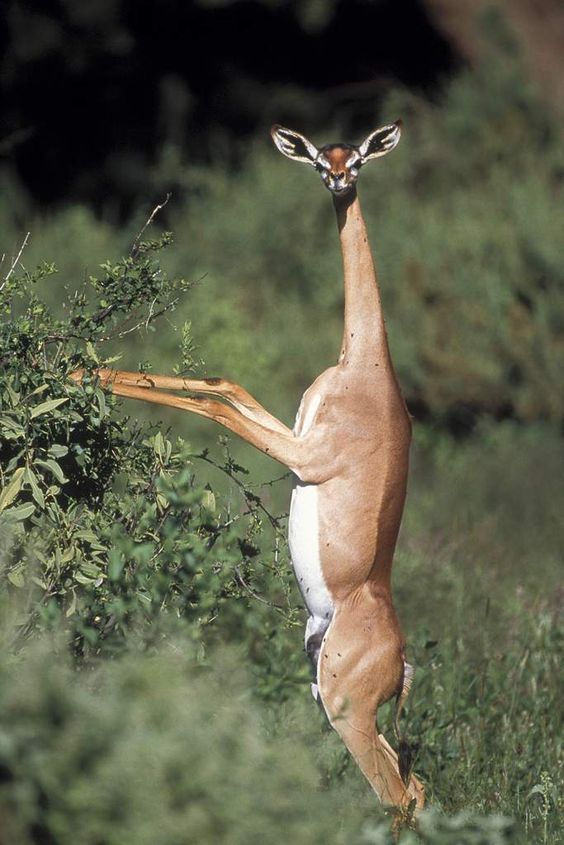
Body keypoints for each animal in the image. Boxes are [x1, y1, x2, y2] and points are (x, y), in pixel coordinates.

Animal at [69, 120, 424, 812]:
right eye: (319, 154)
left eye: (358, 156)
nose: (337, 179)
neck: (367, 367)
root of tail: (401, 660)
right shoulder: (293, 430)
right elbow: (223, 383)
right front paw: (78, 370)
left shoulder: (306, 456)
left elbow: (216, 410)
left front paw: (81, 374)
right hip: (331, 700)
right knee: (415, 787)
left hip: (345, 710)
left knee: (398, 796)